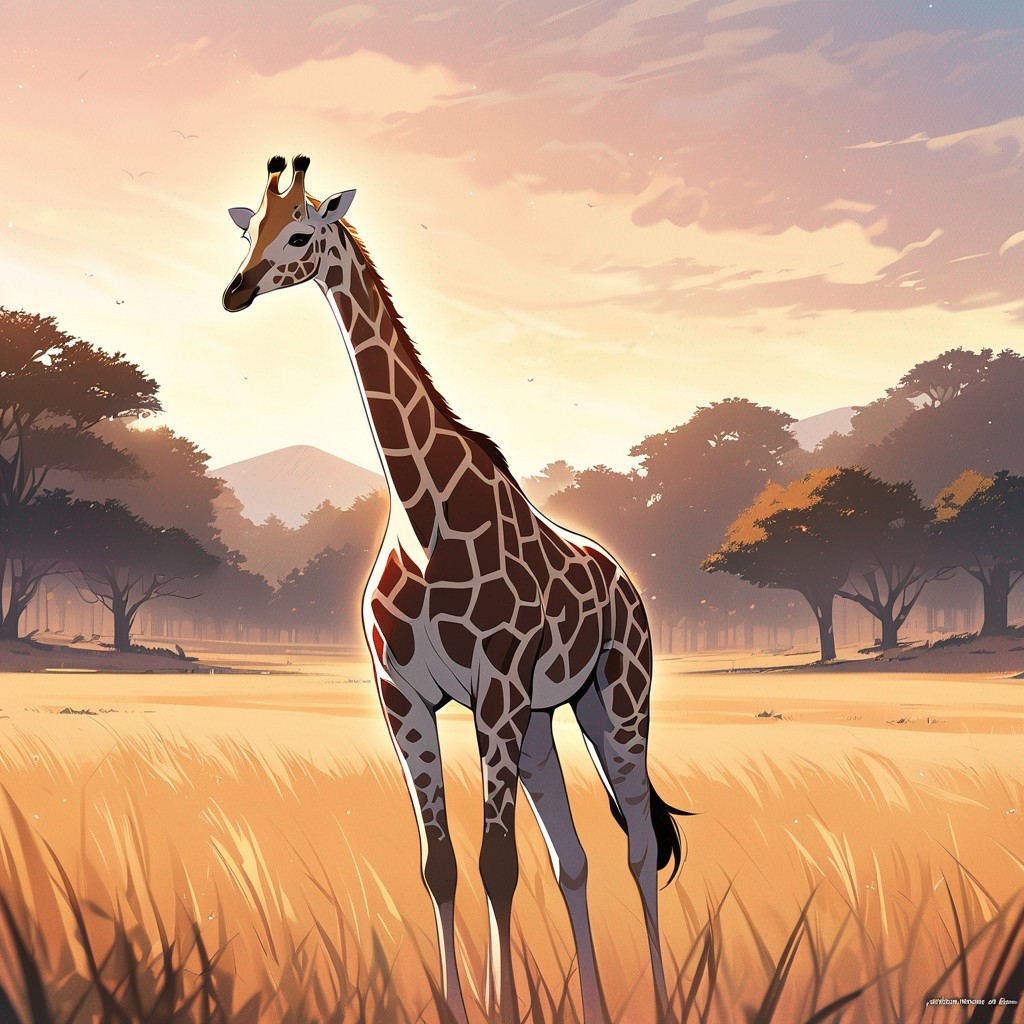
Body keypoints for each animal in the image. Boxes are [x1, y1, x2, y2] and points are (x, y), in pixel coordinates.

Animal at [222, 155, 689, 1024]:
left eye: (300, 233)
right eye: (248, 230)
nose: (235, 292)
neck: (423, 512)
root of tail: (628, 584)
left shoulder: (495, 690)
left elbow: (496, 864)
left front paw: (502, 1008)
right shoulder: (404, 696)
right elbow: (440, 866)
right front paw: (458, 1005)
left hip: (616, 698)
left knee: (640, 846)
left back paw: (664, 1004)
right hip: (543, 719)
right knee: (574, 856)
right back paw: (595, 1008)